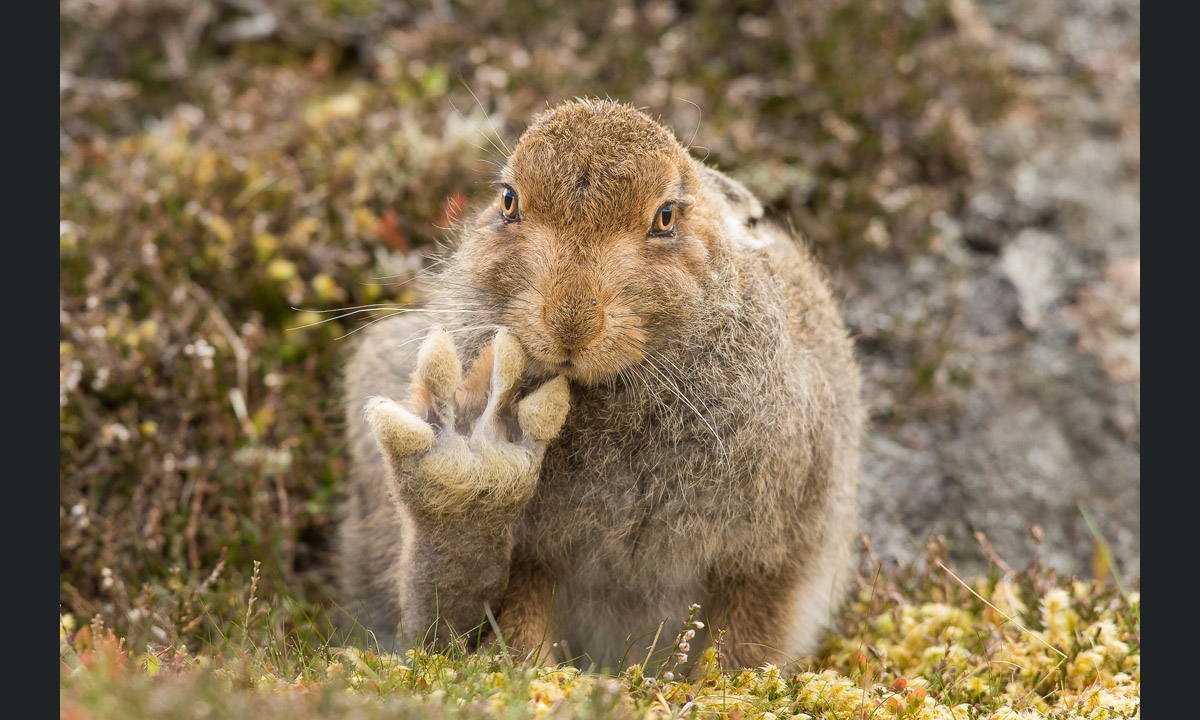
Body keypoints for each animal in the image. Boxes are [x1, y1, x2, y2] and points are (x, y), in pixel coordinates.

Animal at [337, 98, 864, 670]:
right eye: (508, 202)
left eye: (665, 217)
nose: (570, 322)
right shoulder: (534, 563)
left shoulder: (775, 554)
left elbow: (745, 642)